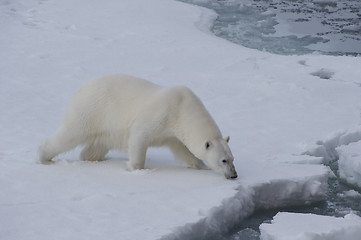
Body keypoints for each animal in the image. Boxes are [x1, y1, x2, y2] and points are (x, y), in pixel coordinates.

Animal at [38, 74, 238, 178]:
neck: (183, 108)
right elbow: (139, 135)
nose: (234, 175)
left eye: (232, 158)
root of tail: (81, 88)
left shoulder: (175, 133)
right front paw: (137, 169)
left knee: (96, 146)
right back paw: (44, 158)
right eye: (223, 160)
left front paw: (201, 166)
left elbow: (183, 150)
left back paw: (94, 158)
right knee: (70, 134)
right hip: (91, 111)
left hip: (105, 129)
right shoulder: (162, 114)